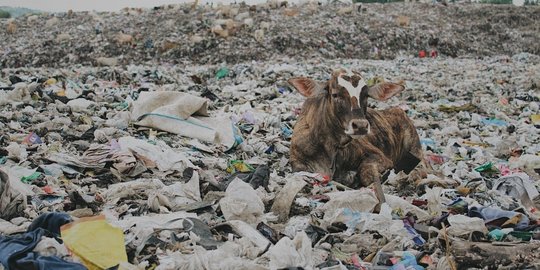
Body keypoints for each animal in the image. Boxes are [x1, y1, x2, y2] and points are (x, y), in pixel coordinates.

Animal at [288, 68, 424, 205]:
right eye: (335, 94)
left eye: (366, 95)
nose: (361, 125)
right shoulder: (297, 163)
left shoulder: (381, 158)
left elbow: (366, 174)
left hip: (415, 148)